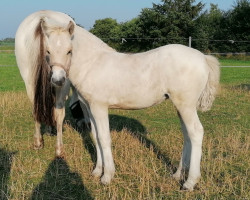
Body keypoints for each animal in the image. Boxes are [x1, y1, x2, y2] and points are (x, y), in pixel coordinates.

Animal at [14, 10, 74, 157]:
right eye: (48, 51)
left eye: (69, 51)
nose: (58, 80)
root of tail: (42, 16)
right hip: (62, 85)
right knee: (58, 113)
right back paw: (58, 148)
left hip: (30, 81)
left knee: (36, 108)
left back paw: (37, 142)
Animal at [69, 25, 220, 190]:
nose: (78, 124)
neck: (92, 62)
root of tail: (203, 58)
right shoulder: (91, 108)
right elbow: (96, 136)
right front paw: (97, 171)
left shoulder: (99, 107)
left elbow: (103, 138)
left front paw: (106, 176)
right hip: (181, 107)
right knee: (187, 134)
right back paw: (178, 174)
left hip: (186, 106)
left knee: (196, 132)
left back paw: (190, 182)